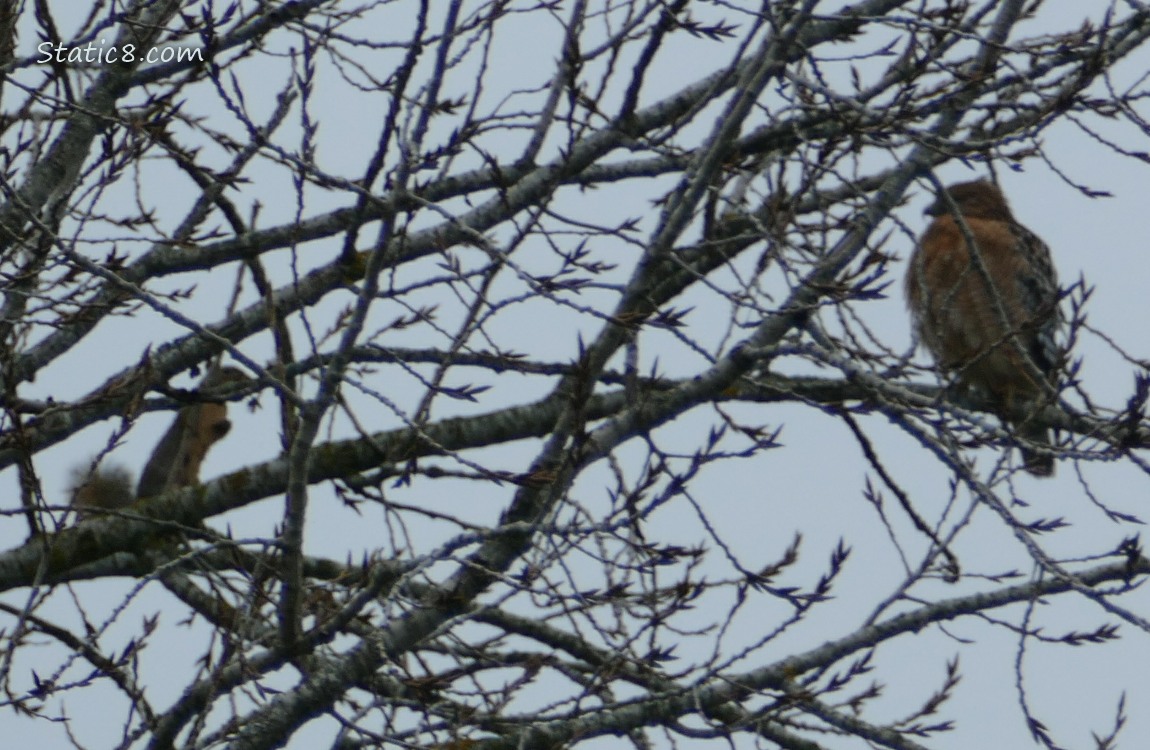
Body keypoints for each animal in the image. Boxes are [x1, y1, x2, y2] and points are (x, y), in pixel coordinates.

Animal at [70, 367, 250, 514]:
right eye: (229, 371)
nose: (247, 377)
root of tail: (138, 499)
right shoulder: (193, 411)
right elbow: (190, 423)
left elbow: (214, 435)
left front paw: (226, 425)